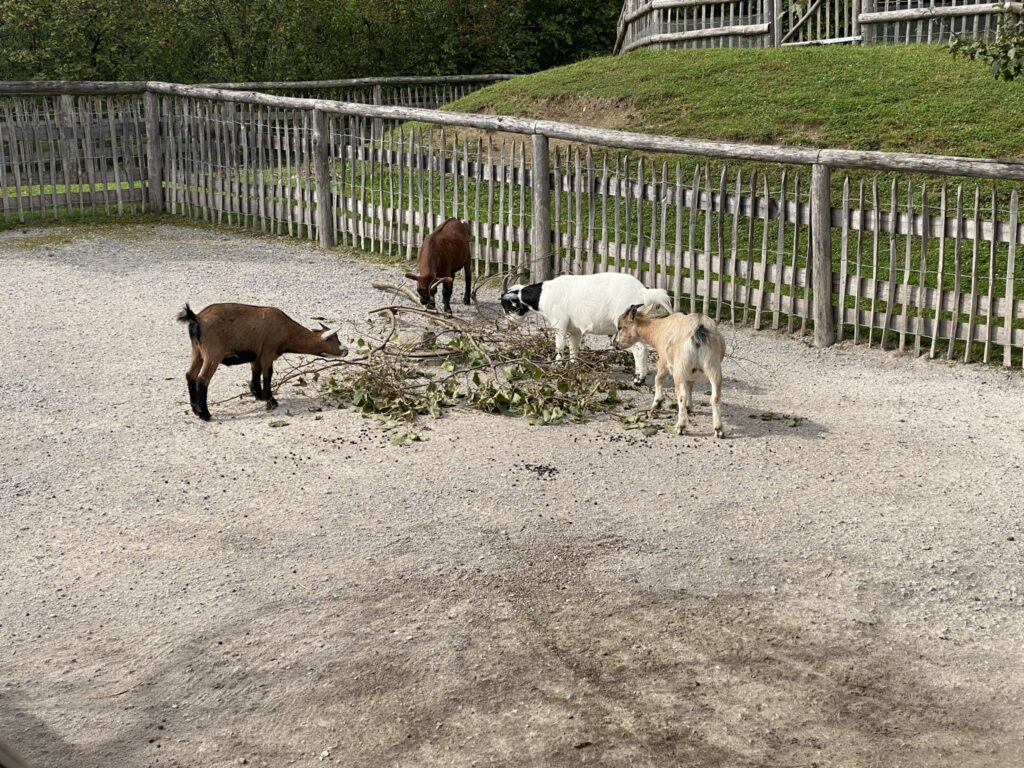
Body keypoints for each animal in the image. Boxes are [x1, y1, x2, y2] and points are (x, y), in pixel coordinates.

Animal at [177, 303, 347, 421]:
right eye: (336, 339)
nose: (346, 350)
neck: (285, 329)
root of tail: (196, 318)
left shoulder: (256, 354)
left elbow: (256, 372)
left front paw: (257, 394)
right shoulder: (267, 352)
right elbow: (267, 374)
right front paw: (271, 400)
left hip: (198, 352)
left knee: (190, 375)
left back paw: (195, 410)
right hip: (213, 354)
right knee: (202, 380)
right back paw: (205, 415)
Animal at [500, 271, 672, 386]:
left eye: (508, 306)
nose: (509, 326)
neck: (544, 295)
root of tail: (643, 291)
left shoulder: (559, 324)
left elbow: (559, 347)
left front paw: (556, 368)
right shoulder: (574, 330)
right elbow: (573, 348)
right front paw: (573, 367)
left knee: (639, 349)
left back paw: (638, 380)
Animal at [613, 305, 726, 437]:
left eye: (620, 327)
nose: (616, 344)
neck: (659, 329)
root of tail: (699, 330)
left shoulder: (663, 360)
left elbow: (658, 378)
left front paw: (657, 404)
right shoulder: (692, 373)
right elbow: (690, 386)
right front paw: (689, 408)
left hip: (679, 368)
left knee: (681, 395)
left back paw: (680, 427)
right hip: (713, 366)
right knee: (715, 397)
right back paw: (718, 429)